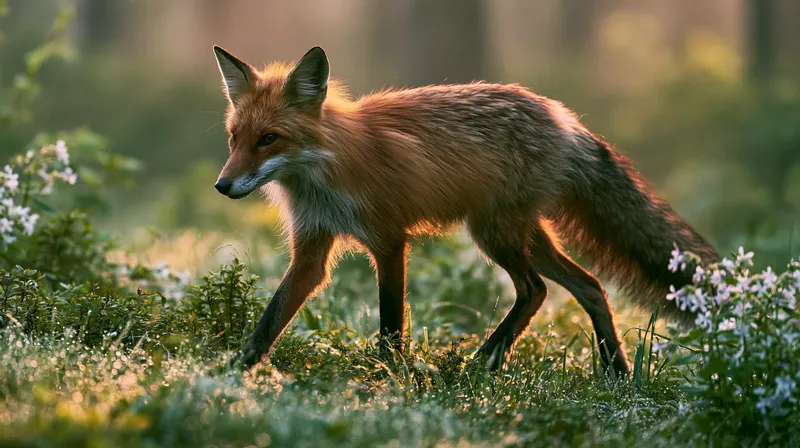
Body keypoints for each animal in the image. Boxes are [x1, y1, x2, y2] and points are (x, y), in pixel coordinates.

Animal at [212, 45, 719, 375]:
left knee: (535, 291)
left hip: (495, 234)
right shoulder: (312, 249)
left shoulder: (389, 239)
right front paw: (235, 373)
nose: (222, 186)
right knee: (590, 287)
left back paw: (482, 362)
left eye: (269, 139)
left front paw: (389, 375)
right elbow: (271, 318)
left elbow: (390, 322)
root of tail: (564, 117)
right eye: (234, 138)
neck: (324, 172)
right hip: (523, 236)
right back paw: (616, 371)